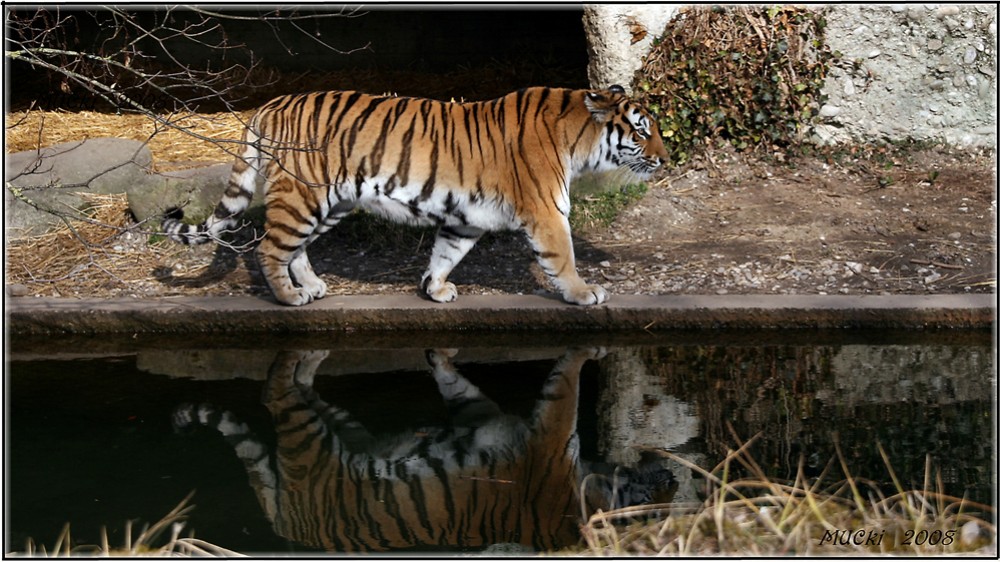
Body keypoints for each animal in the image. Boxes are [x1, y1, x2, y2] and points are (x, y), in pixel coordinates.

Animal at [162, 85, 664, 306]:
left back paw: (312, 286)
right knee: (269, 248)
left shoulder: (466, 219)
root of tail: (269, 105)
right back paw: (289, 298)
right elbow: (563, 256)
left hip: (331, 203)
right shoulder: (546, 210)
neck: (578, 138)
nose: (664, 157)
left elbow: (445, 253)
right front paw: (584, 293)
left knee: (295, 248)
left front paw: (435, 289)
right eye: (641, 132)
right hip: (304, 196)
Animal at [172, 346, 676, 552]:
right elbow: (562, 384)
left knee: (287, 390)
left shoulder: (501, 420)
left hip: (328, 436)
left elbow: (466, 383)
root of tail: (286, 526)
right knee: (276, 391)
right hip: (317, 436)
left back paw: (308, 354)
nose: (671, 472)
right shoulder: (526, 426)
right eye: (658, 501)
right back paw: (300, 353)